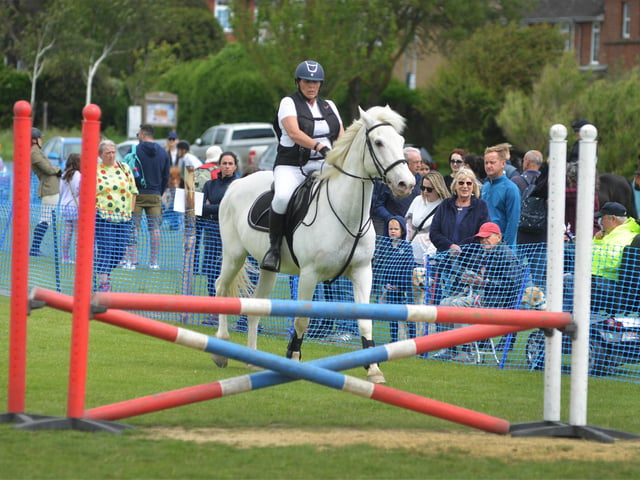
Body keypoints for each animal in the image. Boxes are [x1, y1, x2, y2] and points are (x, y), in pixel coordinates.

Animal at [212, 105, 415, 384]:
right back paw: (221, 349)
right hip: (234, 255)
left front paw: (374, 370)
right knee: (221, 287)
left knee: (256, 305)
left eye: (401, 142)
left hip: (267, 268)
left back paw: (253, 361)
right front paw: (294, 358)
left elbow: (365, 320)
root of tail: (236, 182)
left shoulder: (362, 272)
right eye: (378, 142)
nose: (407, 184)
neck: (347, 213)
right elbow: (301, 320)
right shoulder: (309, 275)